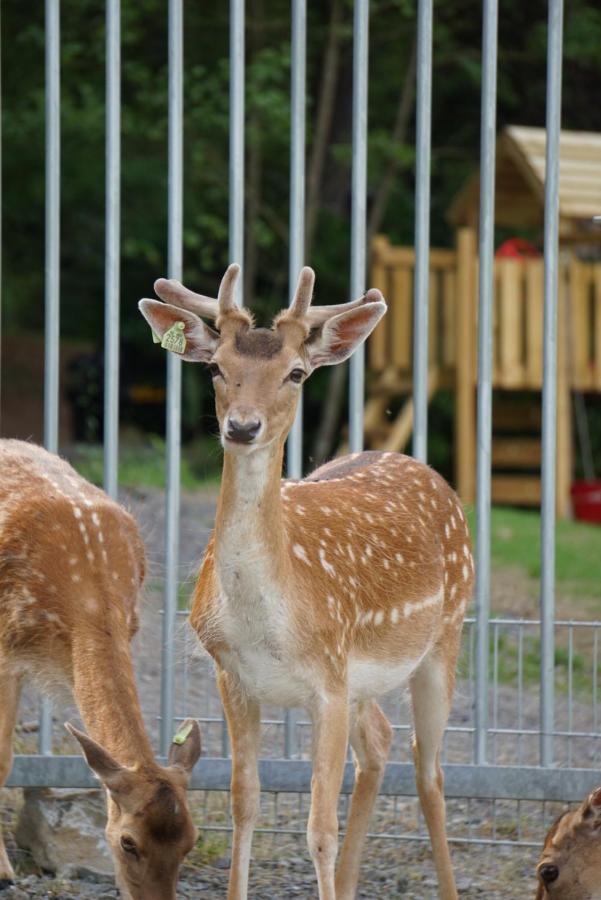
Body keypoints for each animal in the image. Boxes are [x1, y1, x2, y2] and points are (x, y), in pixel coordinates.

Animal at [138, 264, 472, 896]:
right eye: (216, 366)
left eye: (295, 373)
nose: (242, 427)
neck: (266, 620)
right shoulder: (232, 676)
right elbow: (244, 803)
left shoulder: (328, 679)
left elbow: (319, 827)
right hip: (365, 679)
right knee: (381, 744)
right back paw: (348, 883)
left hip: (446, 634)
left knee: (431, 771)